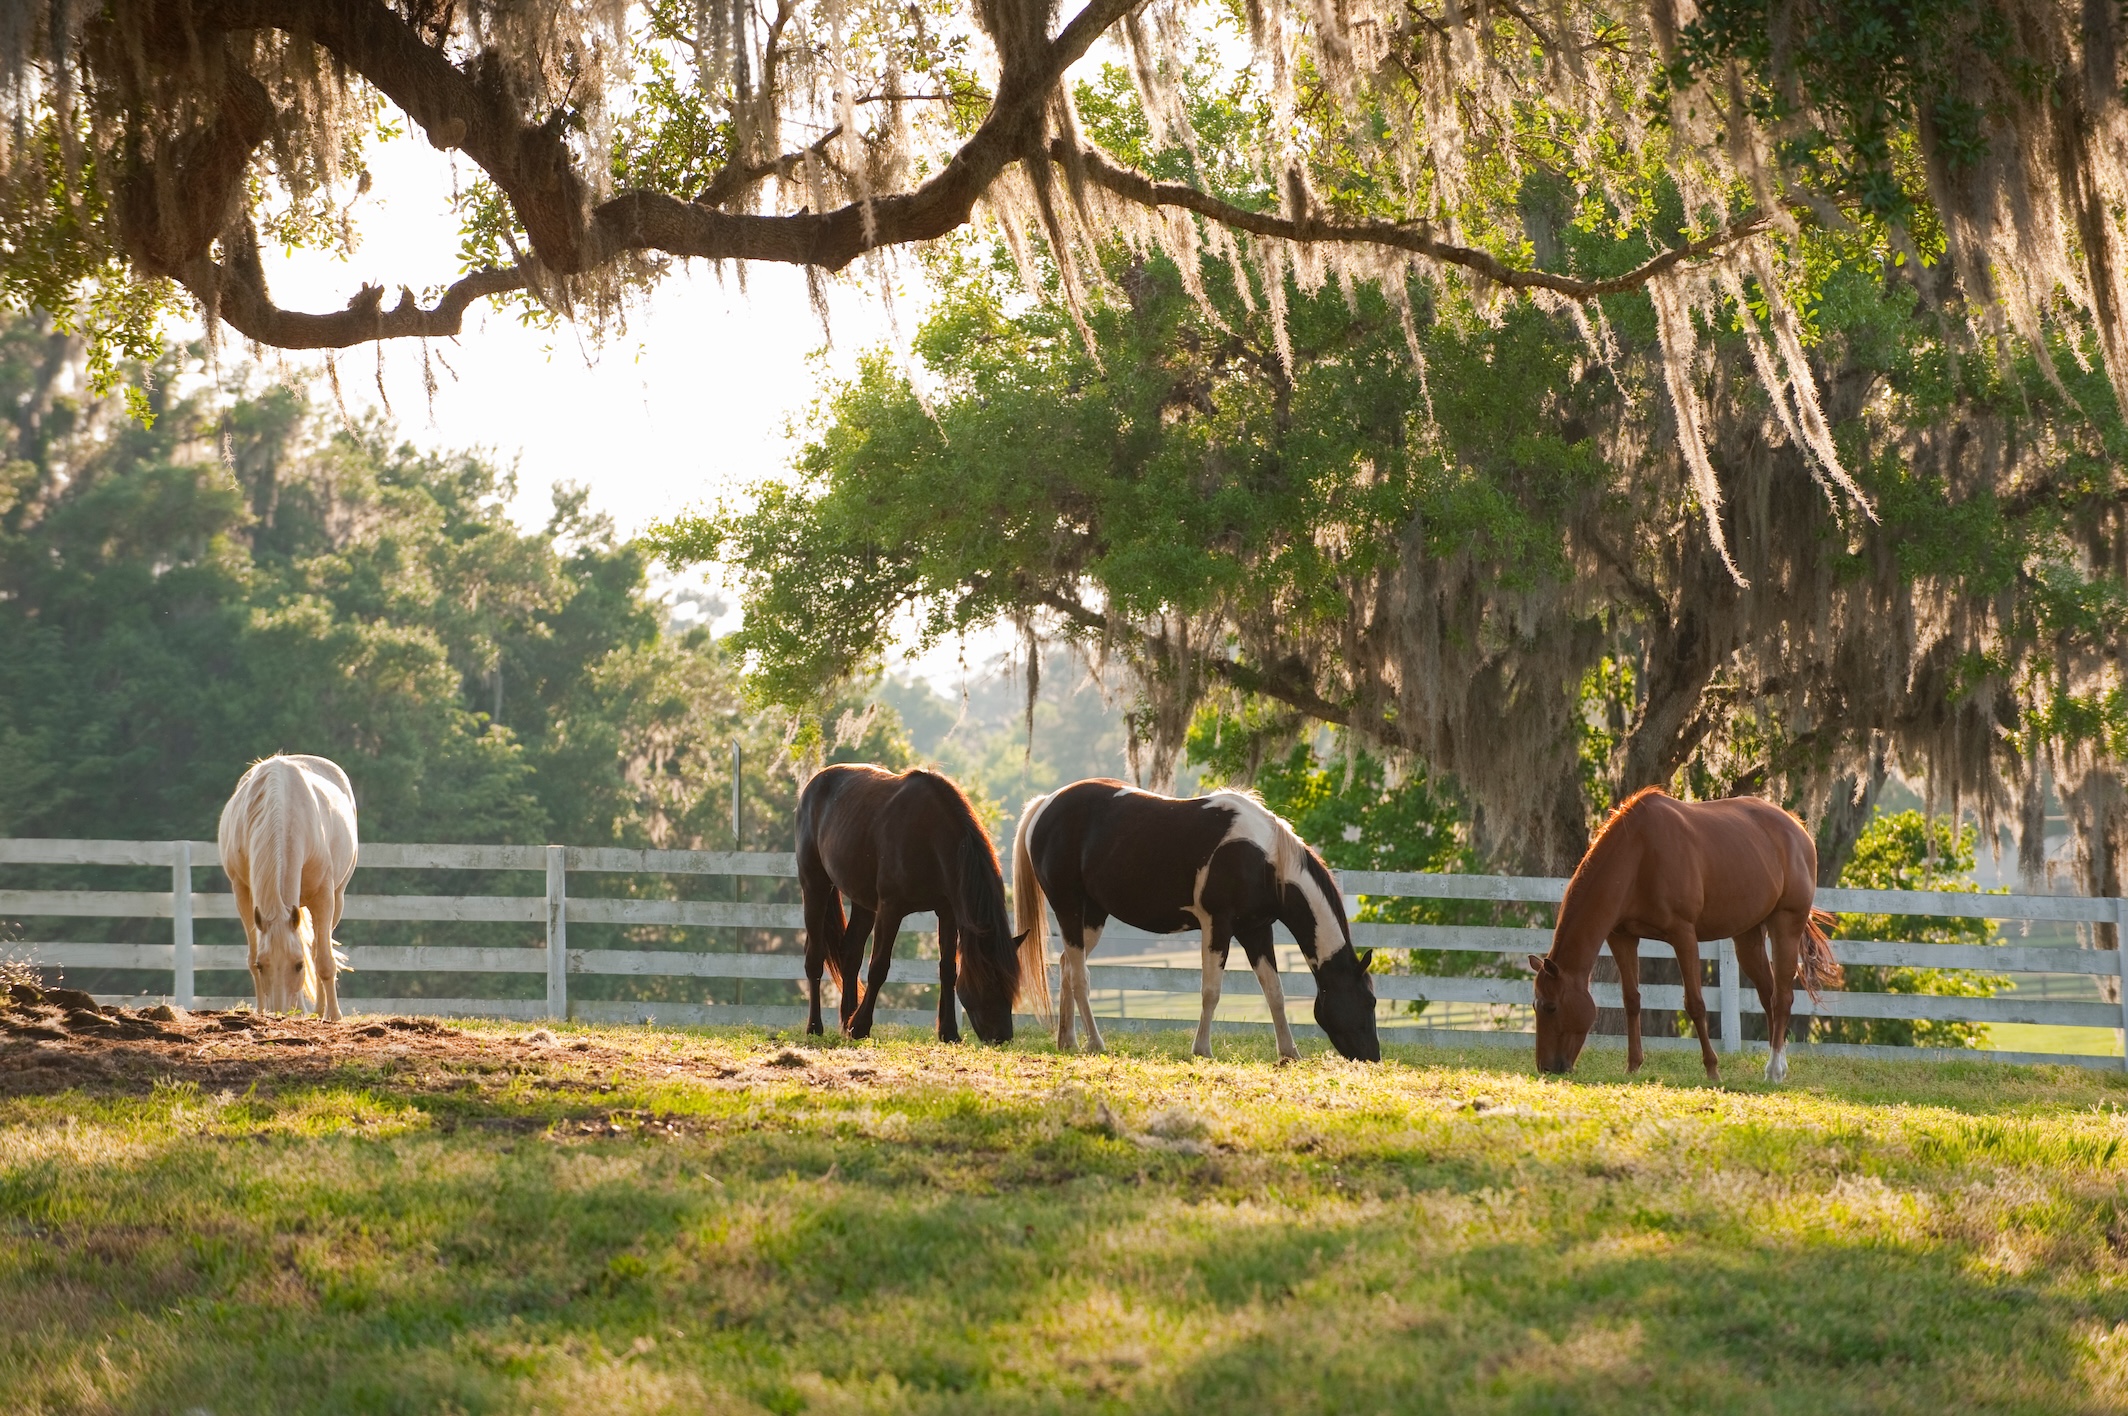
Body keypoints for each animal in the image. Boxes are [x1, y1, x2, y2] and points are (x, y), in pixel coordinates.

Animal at [217, 754, 359, 1020]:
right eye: (263, 965)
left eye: (298, 965)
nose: (280, 1012)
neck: (281, 811)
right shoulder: (241, 892)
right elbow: (252, 956)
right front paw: (262, 1010)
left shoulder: (324, 895)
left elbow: (323, 960)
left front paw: (334, 1016)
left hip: (337, 898)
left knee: (316, 948)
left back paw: (319, 1010)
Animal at [796, 763, 1043, 1043]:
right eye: (991, 981)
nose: (1002, 1036)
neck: (931, 838)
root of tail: (815, 783)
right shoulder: (891, 909)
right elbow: (879, 967)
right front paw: (860, 1026)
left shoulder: (947, 912)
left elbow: (948, 969)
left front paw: (949, 1031)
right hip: (815, 886)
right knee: (815, 958)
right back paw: (815, 1027)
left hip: (863, 902)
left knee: (851, 953)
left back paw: (845, 1020)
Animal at [1013, 780, 1381, 1062]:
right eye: (1369, 1001)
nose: (1373, 1056)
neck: (1266, 860)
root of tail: (1045, 804)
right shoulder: (1218, 926)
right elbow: (1211, 991)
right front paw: (1202, 1049)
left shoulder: (1256, 931)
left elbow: (1274, 991)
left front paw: (1289, 1053)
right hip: (1069, 908)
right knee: (1080, 977)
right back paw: (1095, 1043)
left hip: (1092, 917)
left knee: (1066, 965)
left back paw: (1067, 1041)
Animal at [1529, 787, 1842, 1083]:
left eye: (1551, 1007)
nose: (1547, 1068)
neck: (1638, 855)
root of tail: (1797, 828)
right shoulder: (1622, 937)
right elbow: (1631, 1000)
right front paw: (1633, 1066)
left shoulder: (1683, 936)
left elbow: (1695, 1004)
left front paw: (1712, 1069)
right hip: (1747, 937)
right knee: (1769, 996)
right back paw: (1777, 1067)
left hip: (1786, 924)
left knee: (1782, 998)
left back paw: (1774, 1069)